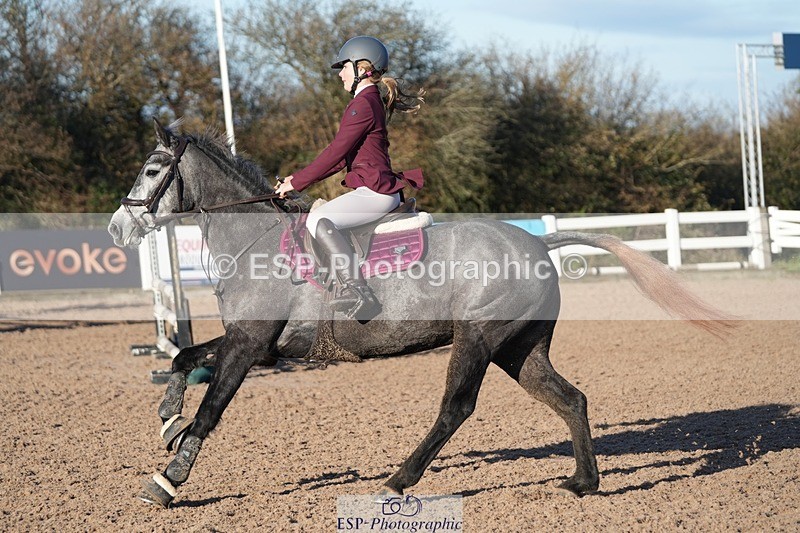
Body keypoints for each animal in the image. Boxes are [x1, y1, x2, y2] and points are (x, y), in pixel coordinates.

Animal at [108, 119, 733, 508]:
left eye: (153, 169)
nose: (117, 227)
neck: (256, 240)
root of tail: (536, 242)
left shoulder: (249, 345)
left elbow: (212, 409)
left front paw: (168, 480)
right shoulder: (253, 342)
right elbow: (184, 359)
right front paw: (166, 418)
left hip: (478, 339)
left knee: (456, 408)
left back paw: (398, 481)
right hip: (518, 349)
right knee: (569, 399)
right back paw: (583, 482)